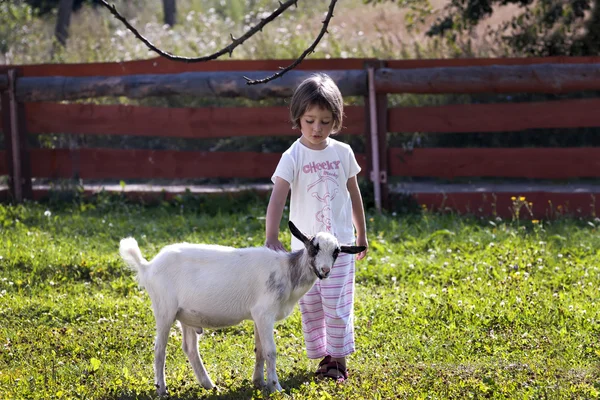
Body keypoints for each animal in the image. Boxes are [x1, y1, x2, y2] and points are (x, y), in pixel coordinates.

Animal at [118, 220, 366, 396]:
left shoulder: (258, 317)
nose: (324, 271)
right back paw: (162, 389)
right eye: (314, 248)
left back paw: (209, 385)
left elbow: (259, 351)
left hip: (186, 315)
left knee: (189, 348)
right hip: (164, 309)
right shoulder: (264, 313)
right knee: (159, 349)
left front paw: (259, 382)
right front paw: (276, 387)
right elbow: (270, 351)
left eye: (336, 252)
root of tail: (148, 266)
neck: (287, 272)